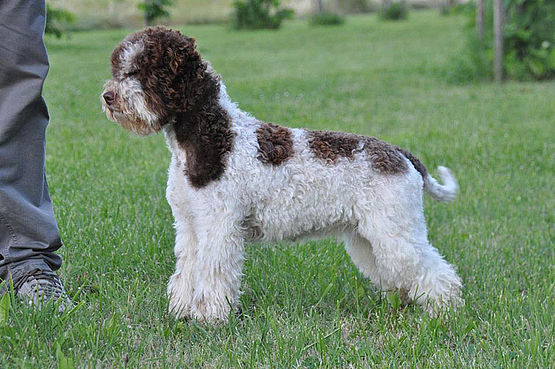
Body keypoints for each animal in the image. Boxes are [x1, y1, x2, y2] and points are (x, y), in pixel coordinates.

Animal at [102, 27, 462, 322]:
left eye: (145, 70)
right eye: (119, 68)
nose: (108, 96)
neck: (213, 136)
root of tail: (400, 153)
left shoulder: (218, 226)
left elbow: (213, 273)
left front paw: (209, 318)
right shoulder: (189, 226)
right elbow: (186, 272)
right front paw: (181, 312)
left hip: (395, 232)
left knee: (435, 273)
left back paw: (444, 313)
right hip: (367, 237)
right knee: (400, 276)